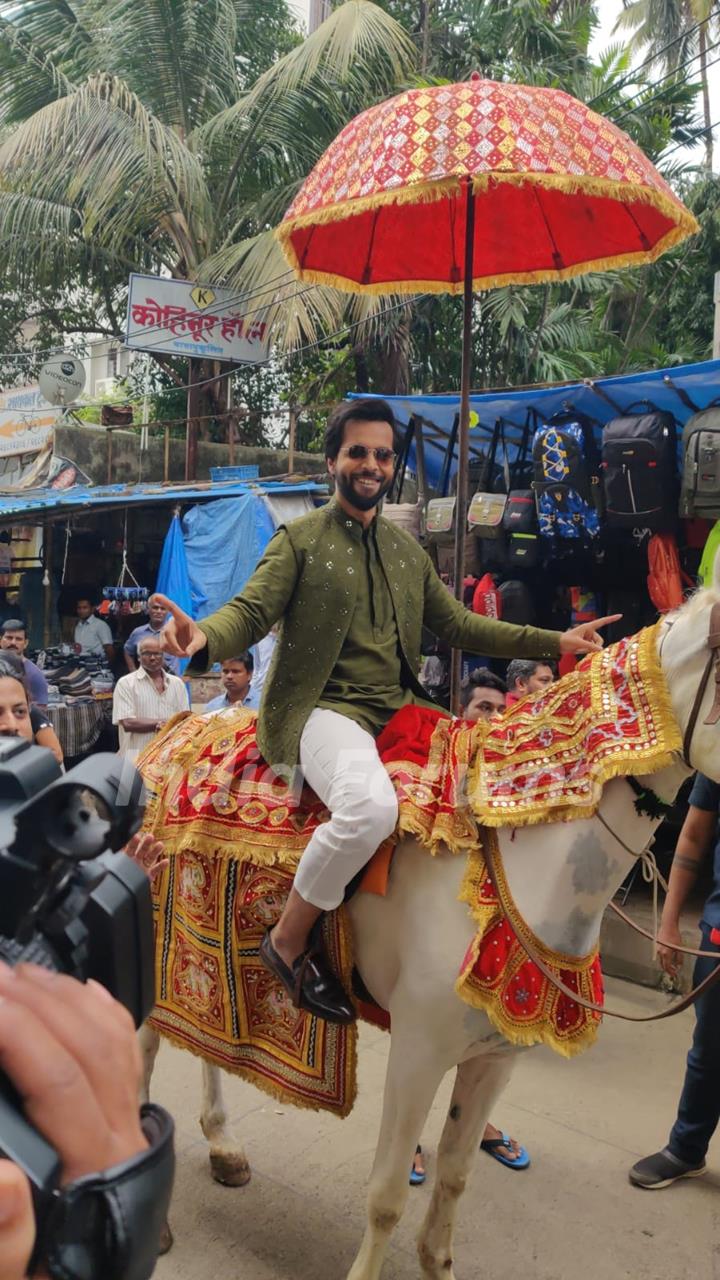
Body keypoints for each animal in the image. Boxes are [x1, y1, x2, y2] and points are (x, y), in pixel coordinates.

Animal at [139, 565, 717, 1274]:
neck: (526, 859)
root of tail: (176, 727)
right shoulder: (418, 1050)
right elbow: (387, 1194)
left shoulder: (496, 1054)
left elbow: (455, 1176)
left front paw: (438, 1260)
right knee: (142, 1044)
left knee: (205, 1032)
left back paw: (223, 1147)